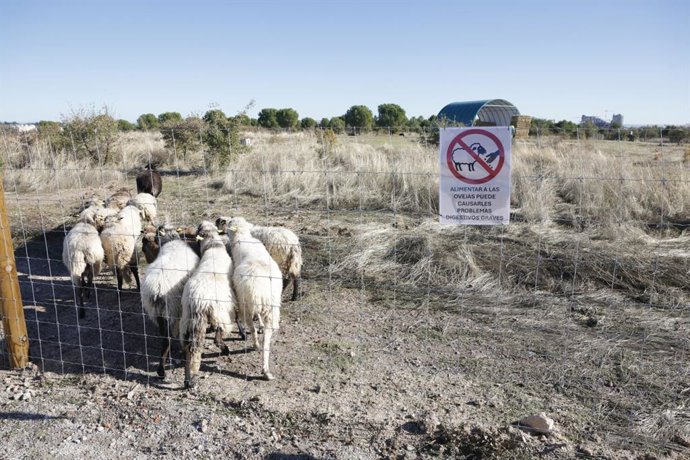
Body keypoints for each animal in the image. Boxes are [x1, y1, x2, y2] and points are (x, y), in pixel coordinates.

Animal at [140, 224, 200, 380]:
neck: (171, 241)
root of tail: (157, 289)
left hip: (157, 312)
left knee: (164, 337)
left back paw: (161, 368)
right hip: (171, 309)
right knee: (168, 338)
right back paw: (162, 369)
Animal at [179, 222, 237, 389]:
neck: (213, 246)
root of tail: (197, 300)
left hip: (188, 321)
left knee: (190, 348)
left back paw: (188, 378)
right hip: (220, 314)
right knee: (218, 336)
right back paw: (225, 350)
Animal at [226, 217, 282, 381]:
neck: (243, 237)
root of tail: (259, 292)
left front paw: (260, 325)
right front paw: (261, 325)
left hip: (245, 304)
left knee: (251, 327)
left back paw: (256, 344)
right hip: (270, 309)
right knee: (266, 340)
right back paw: (265, 369)